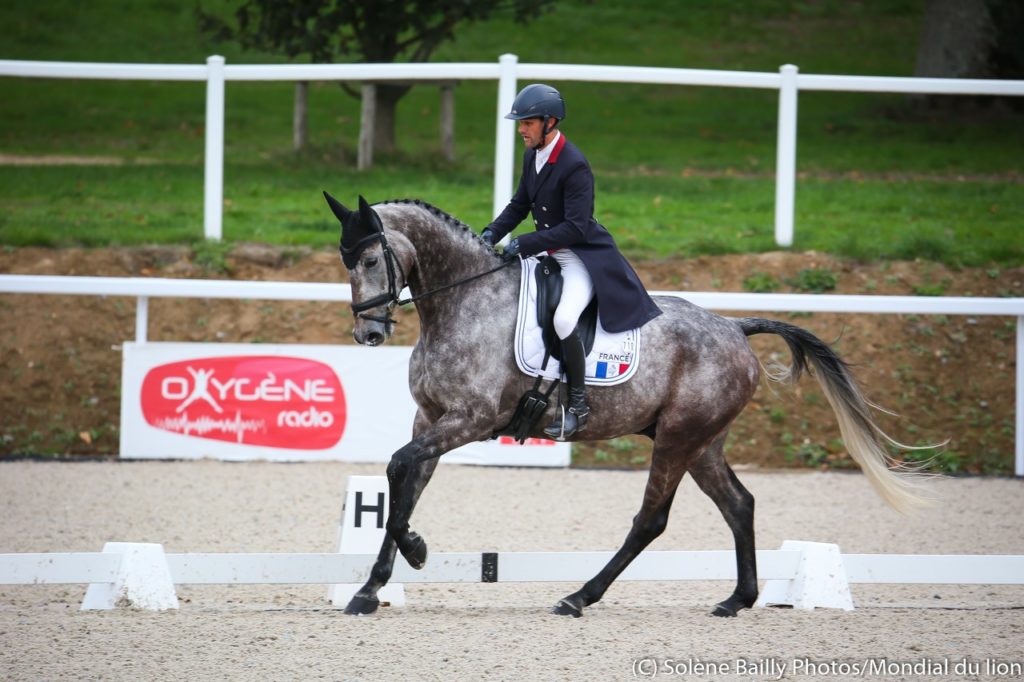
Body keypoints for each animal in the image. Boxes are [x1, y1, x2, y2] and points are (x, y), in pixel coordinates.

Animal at [323, 191, 933, 614]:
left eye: (371, 260)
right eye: (345, 262)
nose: (368, 334)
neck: (462, 301)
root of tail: (734, 328)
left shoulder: (471, 419)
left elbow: (398, 467)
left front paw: (415, 552)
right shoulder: (430, 417)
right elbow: (404, 484)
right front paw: (371, 587)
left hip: (679, 438)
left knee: (651, 519)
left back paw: (579, 597)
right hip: (702, 442)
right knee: (739, 504)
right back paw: (737, 599)